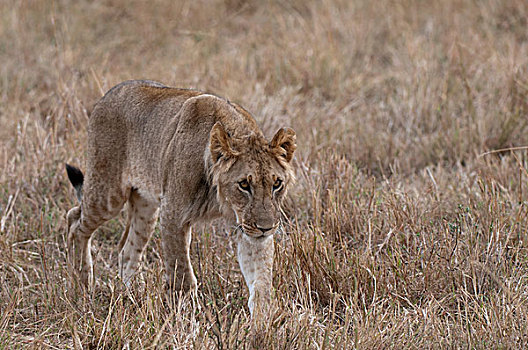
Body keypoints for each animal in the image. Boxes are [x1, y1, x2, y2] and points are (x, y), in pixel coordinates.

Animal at [64, 78, 294, 318]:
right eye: (244, 185)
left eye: (277, 184)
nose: (266, 228)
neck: (220, 199)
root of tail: (108, 94)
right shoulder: (173, 215)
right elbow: (182, 273)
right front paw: (189, 316)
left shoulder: (248, 229)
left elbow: (261, 280)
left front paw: (264, 320)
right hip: (108, 193)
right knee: (75, 221)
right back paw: (82, 286)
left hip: (146, 206)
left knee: (127, 249)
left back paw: (134, 294)